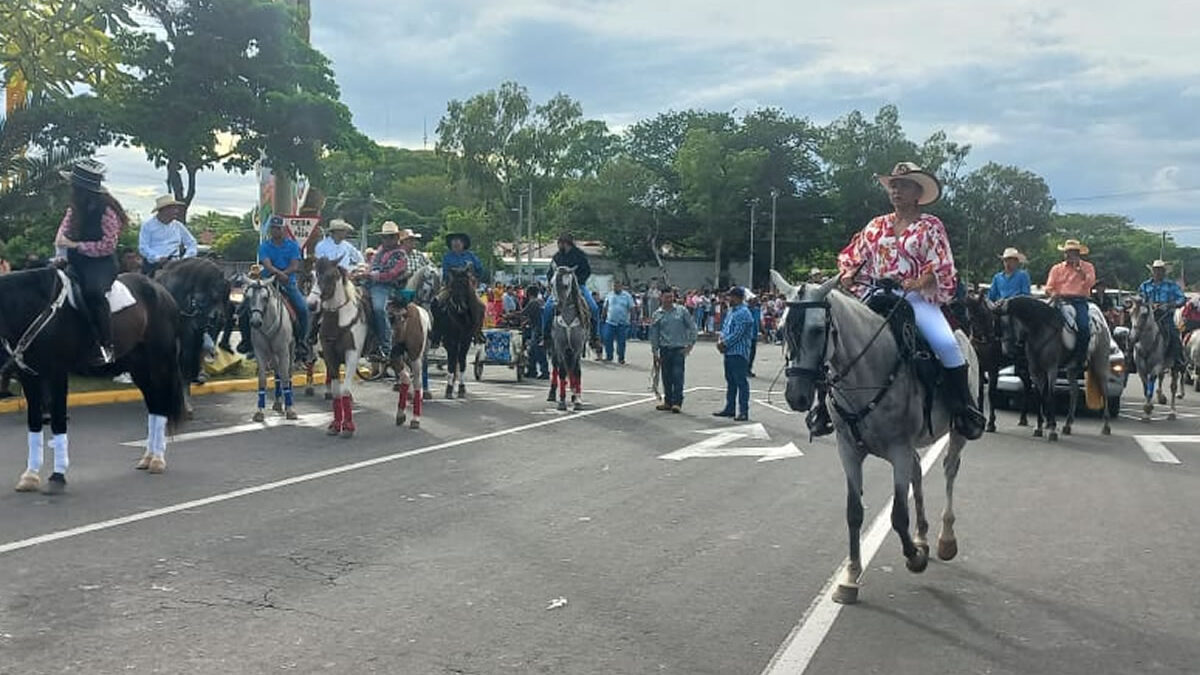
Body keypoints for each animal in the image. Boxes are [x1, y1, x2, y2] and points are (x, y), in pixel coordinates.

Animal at [1, 267, 186, 494]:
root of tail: (161, 289)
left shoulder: (57, 373)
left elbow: (58, 420)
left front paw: (58, 476)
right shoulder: (29, 376)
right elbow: (34, 422)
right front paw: (30, 476)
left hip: (159, 361)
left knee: (161, 404)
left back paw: (158, 460)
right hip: (138, 366)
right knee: (154, 404)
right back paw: (148, 458)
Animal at [238, 276, 295, 417]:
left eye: (265, 298)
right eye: (247, 297)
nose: (255, 322)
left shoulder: (283, 351)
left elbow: (286, 377)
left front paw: (290, 409)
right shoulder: (260, 352)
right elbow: (262, 379)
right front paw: (259, 411)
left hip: (291, 348)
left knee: (288, 373)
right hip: (273, 354)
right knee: (277, 373)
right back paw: (278, 402)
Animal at [549, 263, 588, 410]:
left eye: (566, 286)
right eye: (551, 284)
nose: (557, 308)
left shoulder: (577, 347)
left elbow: (576, 371)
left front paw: (577, 400)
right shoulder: (560, 346)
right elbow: (561, 371)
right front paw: (561, 401)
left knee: (572, 369)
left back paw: (574, 392)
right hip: (555, 348)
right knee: (556, 366)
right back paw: (553, 393)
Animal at [768, 269, 974, 605]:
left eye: (816, 330)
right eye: (783, 327)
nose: (796, 396)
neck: (868, 370)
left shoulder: (899, 449)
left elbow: (898, 515)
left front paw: (914, 558)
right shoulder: (848, 449)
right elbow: (854, 512)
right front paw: (851, 576)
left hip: (956, 434)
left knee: (949, 471)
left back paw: (945, 540)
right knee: (918, 472)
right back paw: (923, 537)